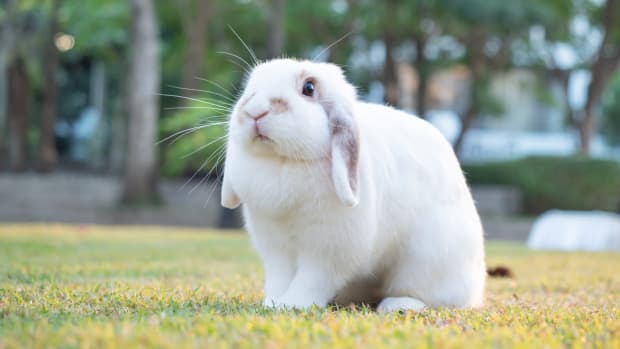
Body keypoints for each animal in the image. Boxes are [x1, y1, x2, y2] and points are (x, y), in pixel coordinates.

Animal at [220, 58, 486, 312]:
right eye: (250, 88)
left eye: (309, 88)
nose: (255, 111)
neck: (282, 162)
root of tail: (476, 286)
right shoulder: (275, 247)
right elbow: (280, 278)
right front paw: (273, 303)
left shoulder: (329, 249)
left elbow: (312, 279)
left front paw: (293, 304)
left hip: (426, 262)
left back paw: (399, 305)